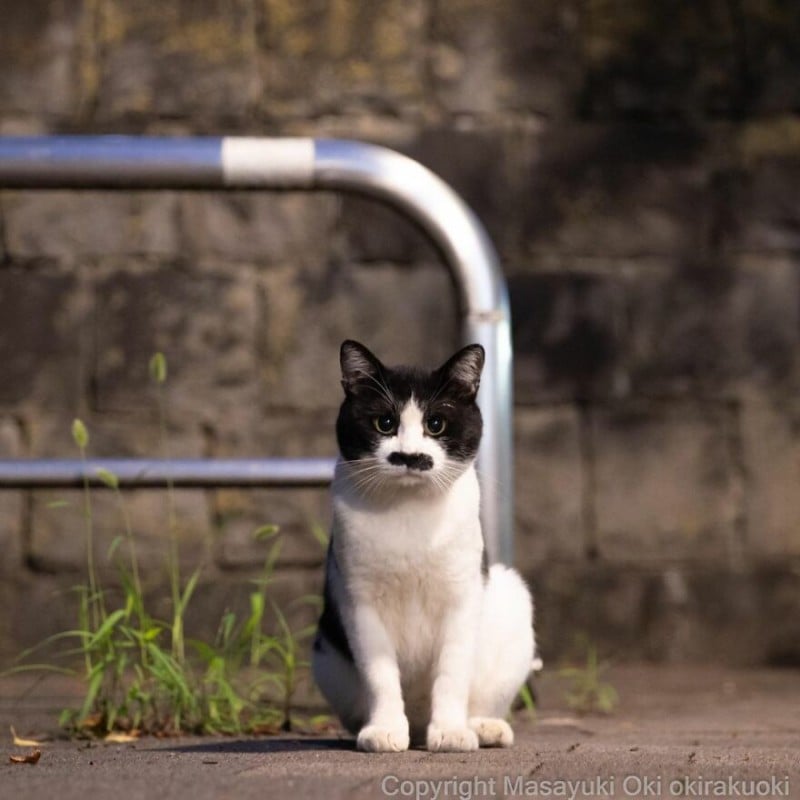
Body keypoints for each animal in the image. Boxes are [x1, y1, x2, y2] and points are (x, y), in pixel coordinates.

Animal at [312, 340, 536, 752]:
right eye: (384, 423)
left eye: (436, 424)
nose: (410, 456)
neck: (408, 511)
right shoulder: (359, 602)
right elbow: (380, 674)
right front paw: (384, 730)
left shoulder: (461, 599)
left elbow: (451, 673)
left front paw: (450, 732)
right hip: (325, 655)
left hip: (513, 600)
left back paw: (482, 727)